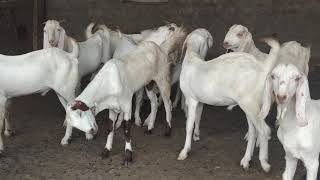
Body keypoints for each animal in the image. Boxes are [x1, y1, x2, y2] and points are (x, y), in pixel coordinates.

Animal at [61, 25, 185, 165]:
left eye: (81, 114)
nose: (92, 131)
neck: (109, 81)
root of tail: (159, 47)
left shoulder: (126, 106)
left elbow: (126, 129)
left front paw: (128, 156)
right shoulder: (112, 107)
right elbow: (110, 128)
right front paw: (106, 151)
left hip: (163, 79)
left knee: (167, 102)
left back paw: (168, 130)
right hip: (148, 83)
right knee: (153, 102)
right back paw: (150, 127)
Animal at [178, 28, 280, 173]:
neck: (192, 59)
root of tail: (262, 67)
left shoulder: (191, 99)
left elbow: (188, 125)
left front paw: (184, 151)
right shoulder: (200, 100)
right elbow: (198, 117)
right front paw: (197, 135)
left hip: (249, 104)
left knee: (264, 130)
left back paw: (264, 163)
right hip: (252, 105)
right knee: (253, 131)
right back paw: (246, 160)